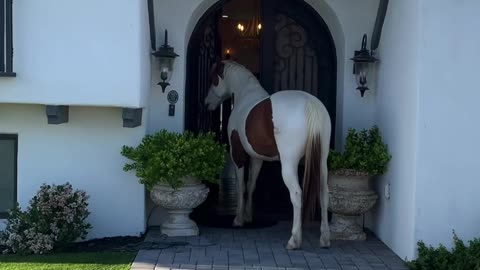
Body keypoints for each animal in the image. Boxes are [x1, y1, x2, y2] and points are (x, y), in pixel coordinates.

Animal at [204, 59, 332, 249]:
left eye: (213, 79)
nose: (207, 103)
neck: (245, 95)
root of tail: (310, 103)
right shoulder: (257, 159)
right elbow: (251, 185)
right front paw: (248, 216)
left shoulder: (238, 156)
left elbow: (241, 186)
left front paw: (239, 219)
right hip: (322, 162)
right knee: (324, 194)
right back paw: (324, 238)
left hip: (289, 165)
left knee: (296, 195)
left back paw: (294, 239)